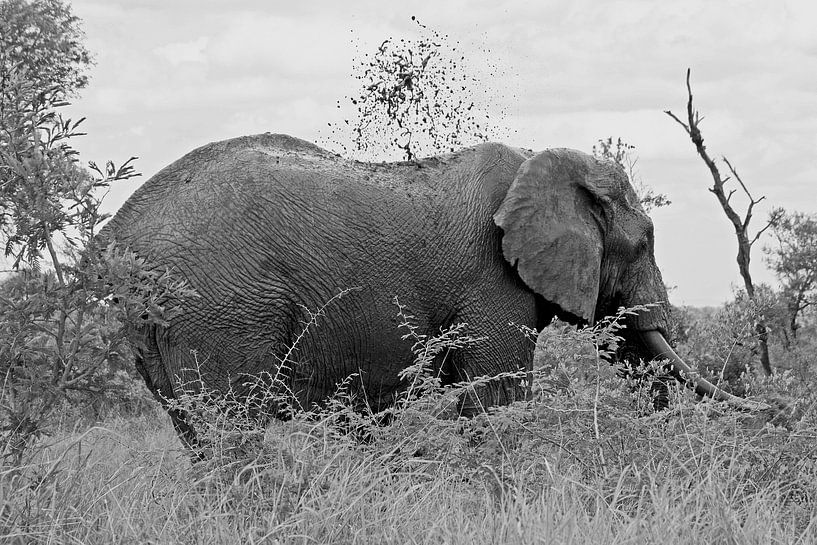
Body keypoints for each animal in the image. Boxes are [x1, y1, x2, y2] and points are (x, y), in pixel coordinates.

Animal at [102, 133, 764, 446]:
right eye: (646, 240)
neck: (539, 158)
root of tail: (116, 242)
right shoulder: (489, 277)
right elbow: (496, 395)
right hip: (220, 309)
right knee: (232, 432)